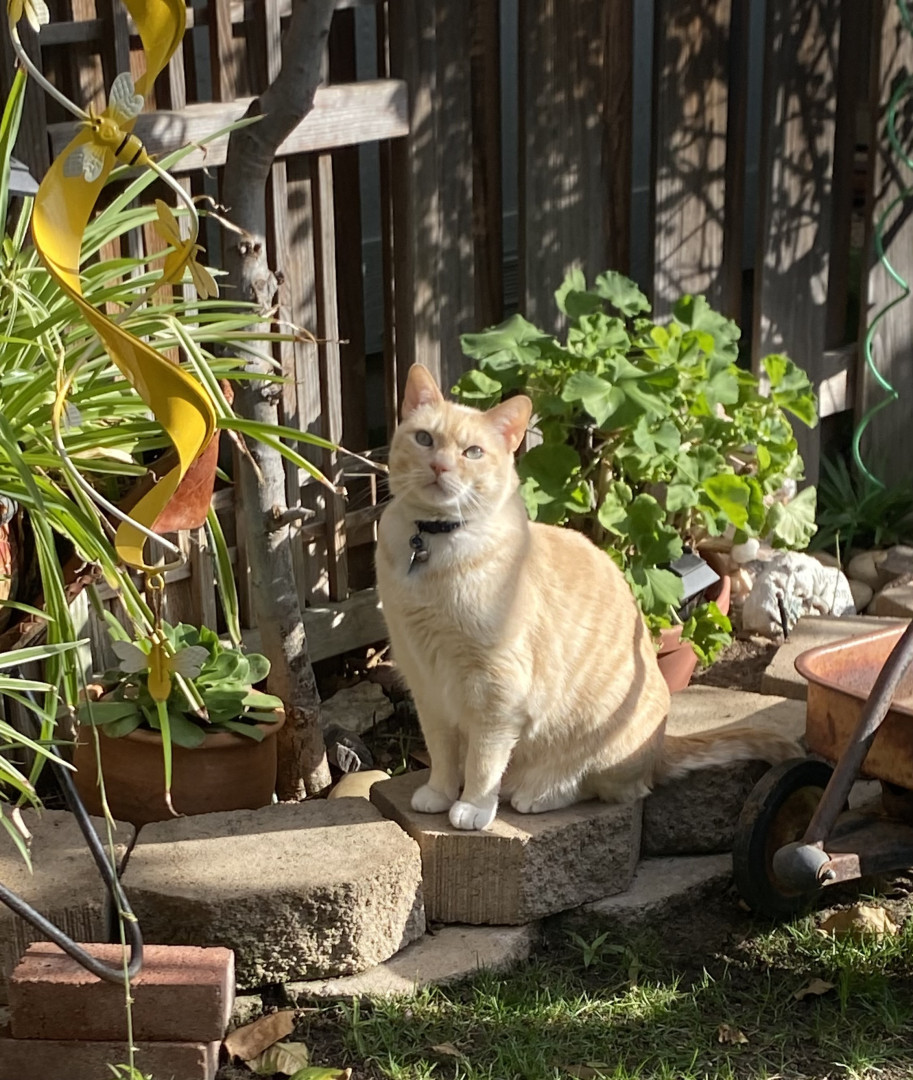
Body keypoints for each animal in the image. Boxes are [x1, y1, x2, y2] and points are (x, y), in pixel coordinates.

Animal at [376, 363, 799, 831]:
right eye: (425, 439)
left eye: (472, 452)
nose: (439, 465)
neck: (433, 552)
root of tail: (661, 746)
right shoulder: (426, 683)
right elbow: (442, 753)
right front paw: (439, 793)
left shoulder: (496, 691)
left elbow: (484, 761)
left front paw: (472, 806)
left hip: (601, 742)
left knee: (606, 786)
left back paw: (536, 794)